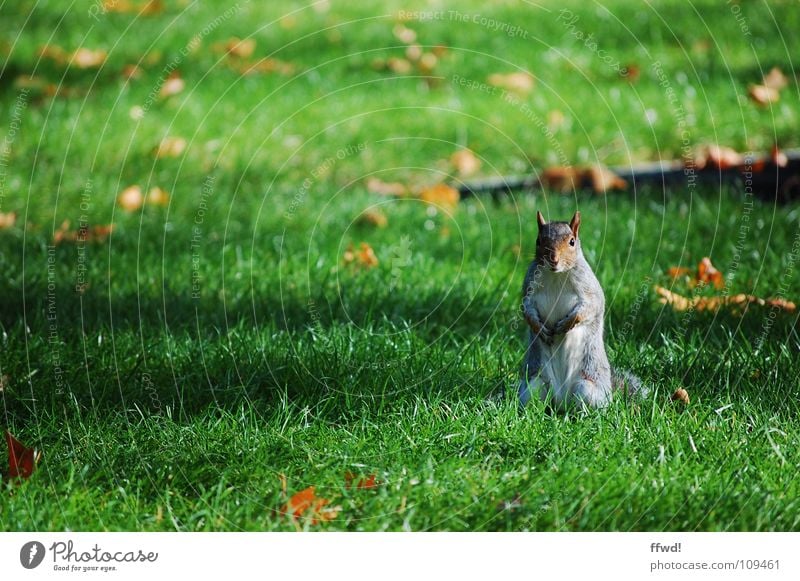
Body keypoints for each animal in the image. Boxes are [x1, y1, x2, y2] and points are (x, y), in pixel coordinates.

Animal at [520, 211, 644, 410]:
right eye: (538, 241)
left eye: (572, 241)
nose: (553, 259)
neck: (556, 275)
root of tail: (562, 402)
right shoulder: (529, 285)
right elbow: (526, 309)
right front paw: (539, 328)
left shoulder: (588, 287)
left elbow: (592, 307)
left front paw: (566, 324)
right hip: (535, 385)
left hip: (586, 387)